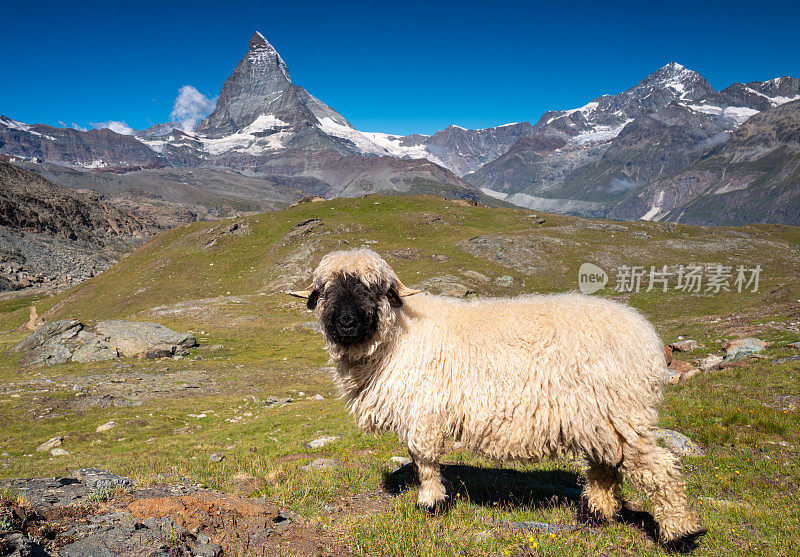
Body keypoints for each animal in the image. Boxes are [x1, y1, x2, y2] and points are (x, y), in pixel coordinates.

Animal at [290, 248, 708, 548]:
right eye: (325, 291)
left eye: (372, 288)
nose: (346, 323)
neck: (397, 337)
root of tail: (645, 337)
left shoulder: (424, 410)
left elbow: (424, 459)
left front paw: (430, 502)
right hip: (599, 416)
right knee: (606, 463)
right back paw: (598, 515)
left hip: (621, 409)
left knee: (658, 468)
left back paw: (681, 533)